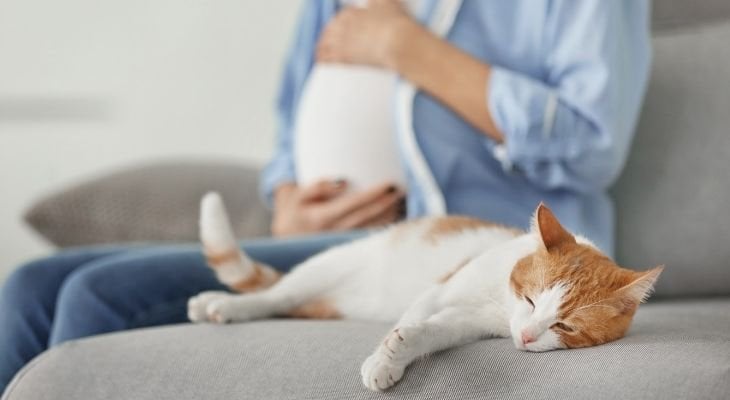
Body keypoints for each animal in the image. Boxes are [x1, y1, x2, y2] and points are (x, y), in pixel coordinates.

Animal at [186, 193, 660, 390]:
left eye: (565, 326)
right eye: (529, 299)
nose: (526, 337)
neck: (498, 305)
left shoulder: (463, 322)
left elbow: (428, 332)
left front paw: (400, 350)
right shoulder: (440, 293)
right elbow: (410, 321)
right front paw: (383, 360)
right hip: (326, 268)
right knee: (275, 295)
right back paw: (221, 304)